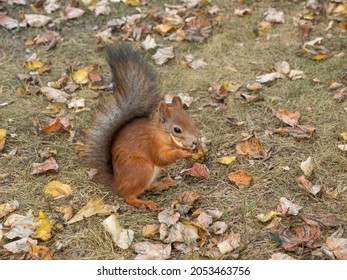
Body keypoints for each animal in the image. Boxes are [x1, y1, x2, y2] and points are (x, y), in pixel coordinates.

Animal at [84, 45, 198, 210]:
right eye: (177, 130)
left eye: (193, 122)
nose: (195, 142)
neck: (158, 133)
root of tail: (118, 184)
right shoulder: (151, 144)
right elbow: (161, 158)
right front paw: (181, 153)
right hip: (141, 168)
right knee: (129, 196)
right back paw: (144, 203)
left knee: (145, 188)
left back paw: (162, 183)